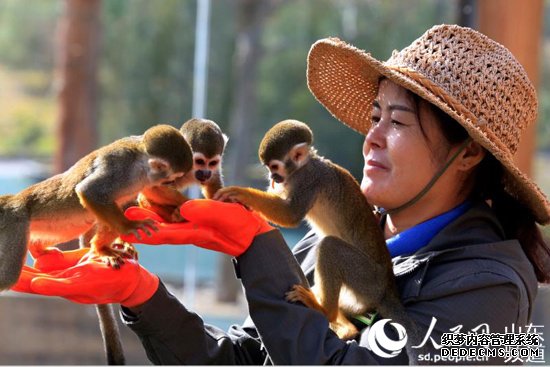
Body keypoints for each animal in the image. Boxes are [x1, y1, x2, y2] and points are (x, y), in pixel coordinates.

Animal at [0, 125, 194, 292]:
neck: (141, 165)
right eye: (173, 177)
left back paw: (39, 248)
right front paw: (128, 227)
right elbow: (90, 191)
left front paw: (185, 206)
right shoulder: (121, 167)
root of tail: (13, 200)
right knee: (8, 276)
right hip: (15, 222)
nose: (172, 182)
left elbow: (153, 191)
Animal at [213, 120, 416, 348]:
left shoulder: (309, 180)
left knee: (330, 247)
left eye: (274, 167)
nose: (273, 177)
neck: (303, 167)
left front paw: (240, 193)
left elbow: (290, 215)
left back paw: (324, 310)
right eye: (268, 169)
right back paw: (343, 326)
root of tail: (387, 287)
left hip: (367, 278)